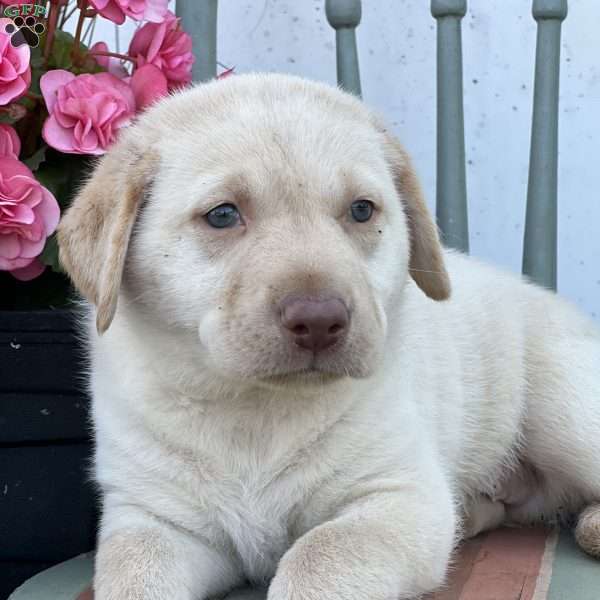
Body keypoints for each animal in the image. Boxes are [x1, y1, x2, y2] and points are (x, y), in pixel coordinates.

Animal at [56, 75, 600, 600]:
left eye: (361, 211)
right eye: (223, 215)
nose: (320, 320)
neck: (254, 412)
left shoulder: (398, 497)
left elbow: (321, 555)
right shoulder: (154, 519)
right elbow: (134, 574)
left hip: (563, 407)